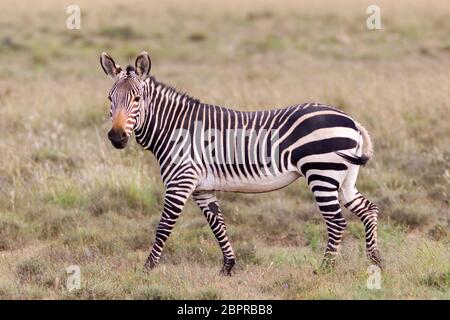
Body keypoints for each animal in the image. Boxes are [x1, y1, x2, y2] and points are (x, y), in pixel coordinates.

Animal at [99, 51, 384, 274]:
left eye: (137, 99)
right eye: (110, 99)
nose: (116, 137)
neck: (174, 128)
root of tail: (351, 120)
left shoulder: (181, 182)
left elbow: (163, 227)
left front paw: (146, 269)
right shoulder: (202, 188)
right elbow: (218, 225)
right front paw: (228, 266)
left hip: (321, 173)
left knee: (337, 222)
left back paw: (325, 269)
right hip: (344, 177)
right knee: (368, 209)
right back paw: (376, 261)